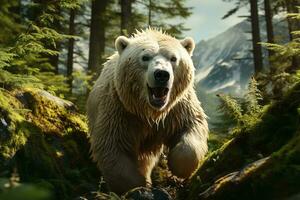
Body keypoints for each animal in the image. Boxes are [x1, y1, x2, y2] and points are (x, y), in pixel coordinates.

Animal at [86, 28, 209, 195]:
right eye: (145, 57)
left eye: (173, 58)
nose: (162, 74)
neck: (148, 111)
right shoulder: (118, 110)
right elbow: (113, 147)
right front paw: (137, 185)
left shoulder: (177, 110)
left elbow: (191, 127)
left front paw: (178, 167)